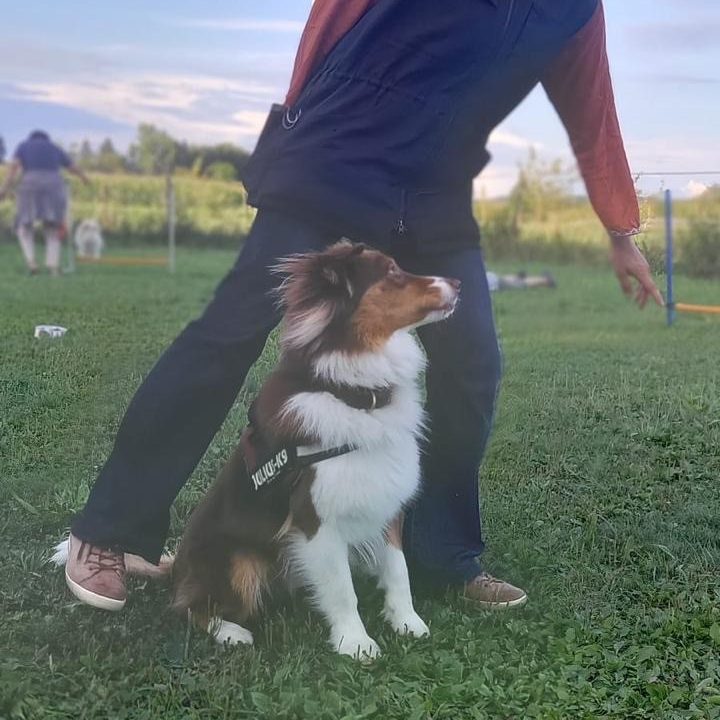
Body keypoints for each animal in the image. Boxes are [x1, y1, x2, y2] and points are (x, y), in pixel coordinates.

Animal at [172, 242, 458, 660]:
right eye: (391, 271)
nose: (458, 281)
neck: (355, 395)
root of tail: (177, 570)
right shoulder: (315, 519)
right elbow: (341, 588)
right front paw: (355, 642)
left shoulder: (386, 499)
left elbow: (398, 569)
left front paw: (407, 622)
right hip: (237, 562)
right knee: (192, 608)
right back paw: (232, 633)